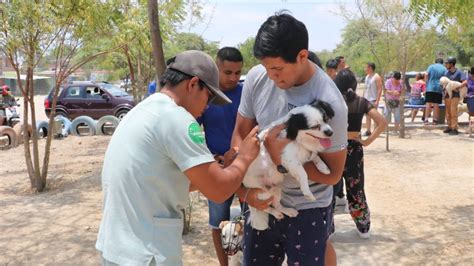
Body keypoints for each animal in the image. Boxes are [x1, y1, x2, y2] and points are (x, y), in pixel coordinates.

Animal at [243, 100, 336, 231]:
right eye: (314, 127)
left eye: (326, 119)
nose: (330, 132)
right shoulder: (290, 160)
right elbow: (303, 174)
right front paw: (307, 192)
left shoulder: (304, 154)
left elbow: (315, 156)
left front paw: (323, 167)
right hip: (262, 193)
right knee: (263, 206)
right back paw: (275, 212)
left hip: (276, 189)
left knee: (276, 205)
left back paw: (286, 212)